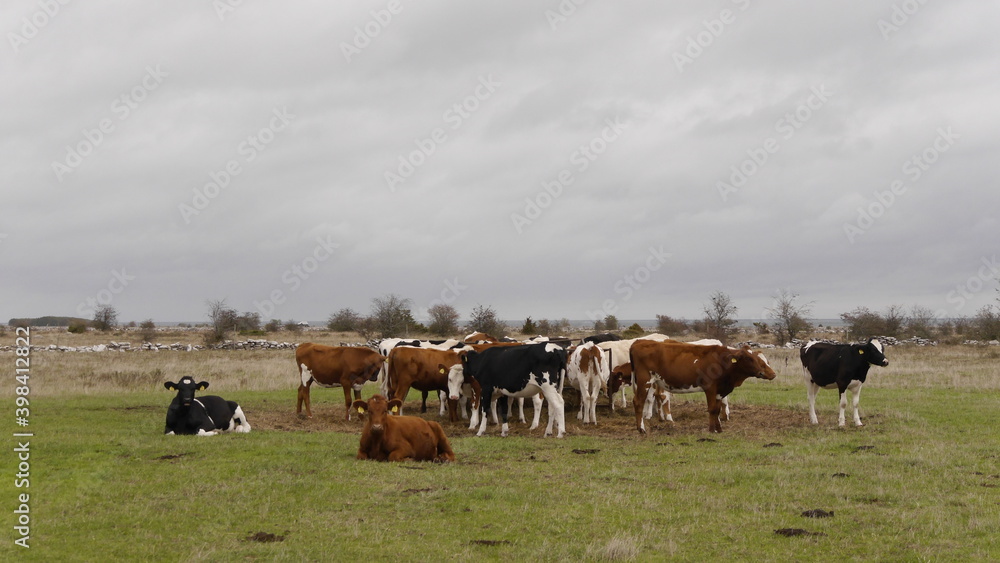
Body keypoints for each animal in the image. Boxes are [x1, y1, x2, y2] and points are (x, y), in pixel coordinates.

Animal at [629, 340, 776, 433]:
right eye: (749, 358)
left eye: (760, 359)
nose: (765, 373)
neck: (723, 361)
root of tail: (639, 342)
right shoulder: (710, 387)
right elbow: (712, 409)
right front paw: (711, 430)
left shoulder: (720, 390)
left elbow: (717, 409)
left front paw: (719, 429)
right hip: (645, 381)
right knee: (638, 402)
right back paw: (641, 429)